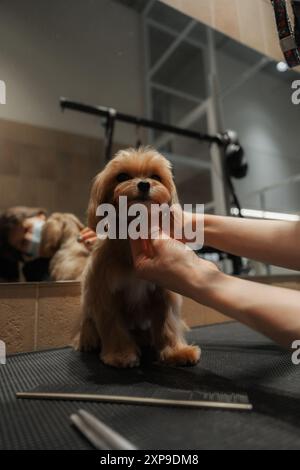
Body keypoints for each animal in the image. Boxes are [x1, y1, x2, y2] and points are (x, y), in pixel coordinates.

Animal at [73, 149, 200, 370]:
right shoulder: (106, 295)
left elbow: (168, 325)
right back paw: (88, 341)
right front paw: (121, 355)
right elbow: (113, 327)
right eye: (122, 176)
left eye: (156, 176)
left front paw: (176, 352)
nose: (144, 184)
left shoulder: (163, 294)